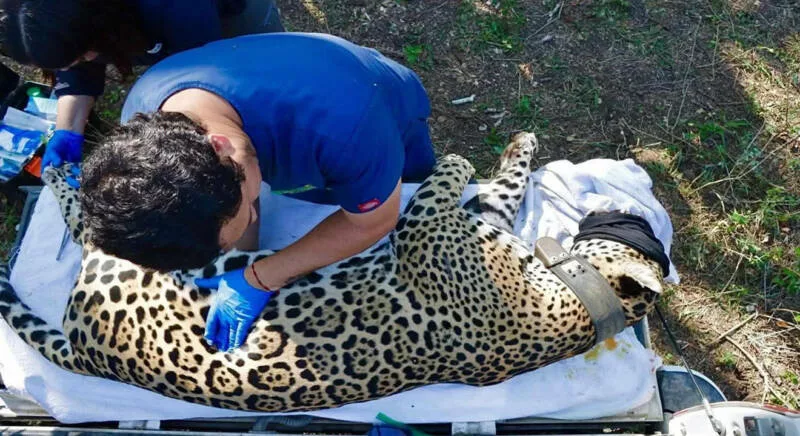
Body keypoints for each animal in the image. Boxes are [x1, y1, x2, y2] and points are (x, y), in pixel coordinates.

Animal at [0, 132, 663, 412]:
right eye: (635, 224)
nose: (633, 211)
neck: (576, 296)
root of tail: (91, 354)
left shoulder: (425, 228)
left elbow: (447, 176)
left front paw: (453, 156)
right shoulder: (477, 220)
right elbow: (504, 184)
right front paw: (518, 146)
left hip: (156, 260)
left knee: (88, 227)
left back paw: (65, 173)